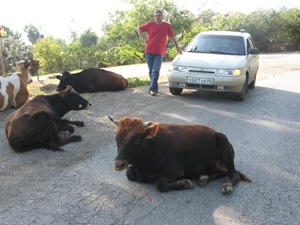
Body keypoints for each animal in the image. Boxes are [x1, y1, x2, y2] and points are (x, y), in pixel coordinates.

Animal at [109, 116, 252, 193]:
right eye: (116, 139)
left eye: (137, 140)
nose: (118, 163)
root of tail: (215, 132)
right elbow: (129, 174)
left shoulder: (176, 169)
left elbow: (160, 183)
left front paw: (185, 183)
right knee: (222, 171)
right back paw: (204, 177)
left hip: (225, 147)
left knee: (234, 174)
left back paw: (226, 185)